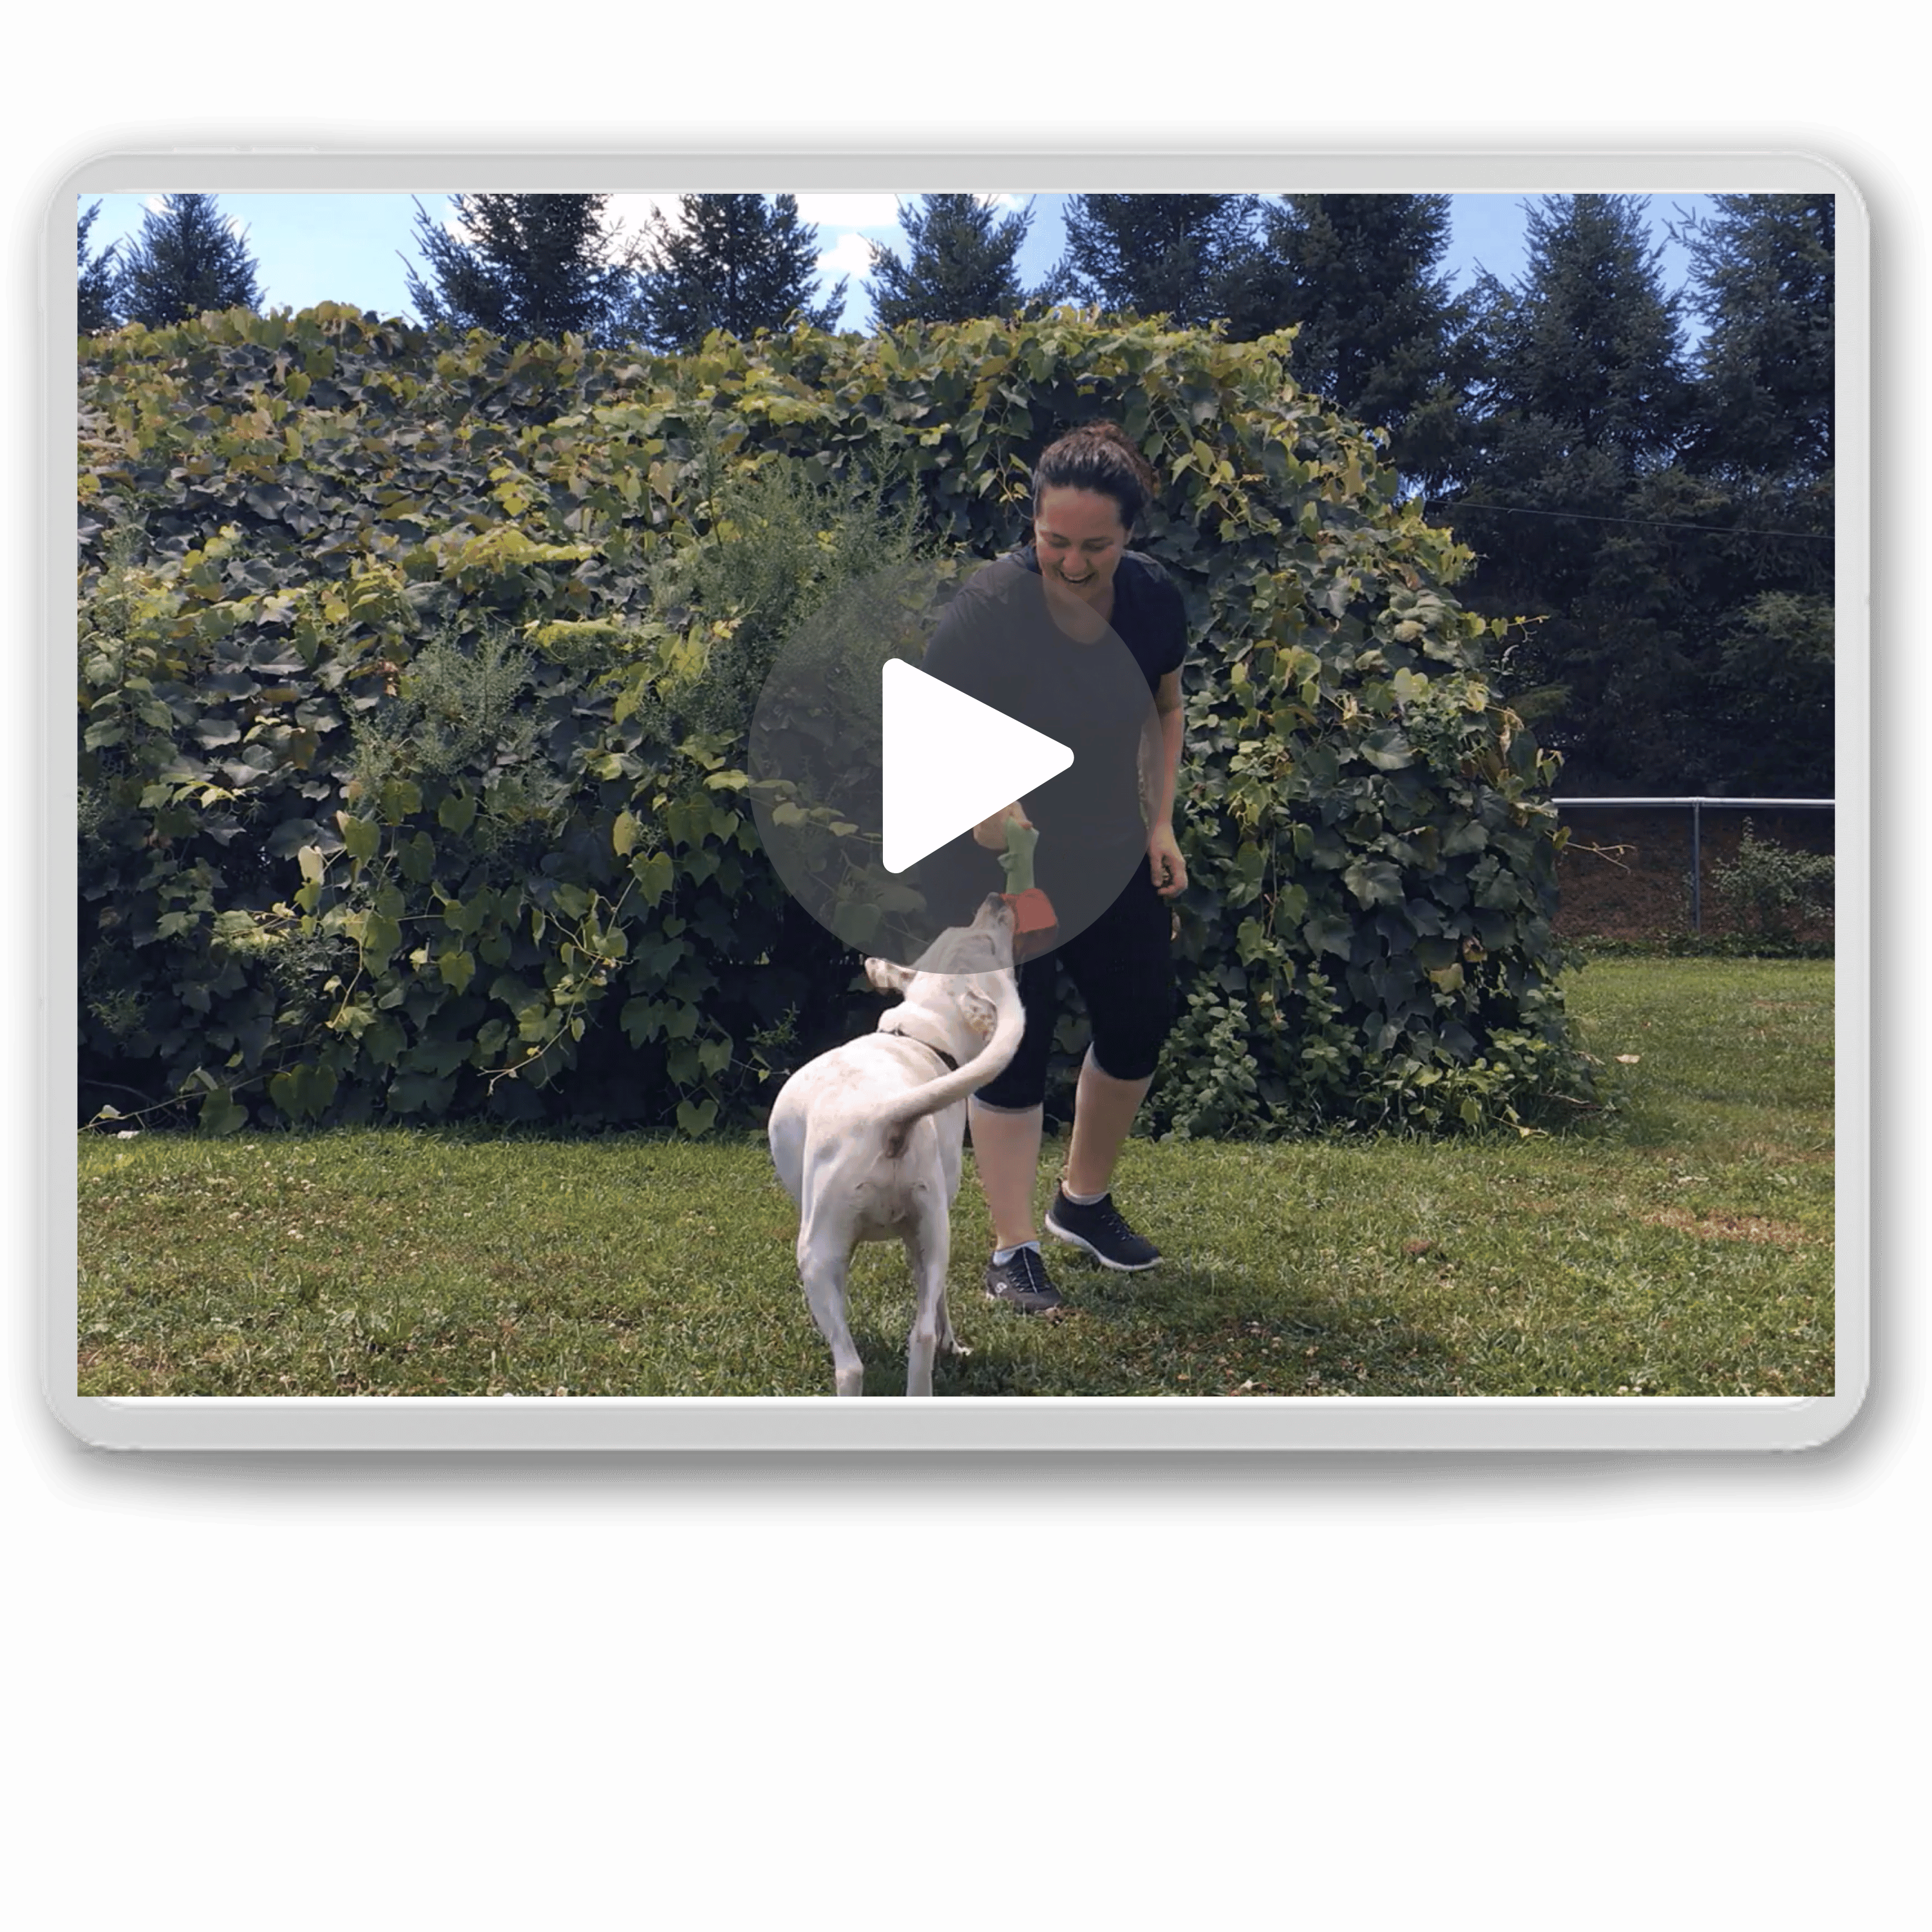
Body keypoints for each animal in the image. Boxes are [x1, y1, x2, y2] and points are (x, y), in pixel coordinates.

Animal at [765, 896, 1028, 1399]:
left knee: (850, 1367)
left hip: (816, 1251)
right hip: (934, 1232)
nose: (997, 900)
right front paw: (953, 1346)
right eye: (979, 938)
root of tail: (885, 1115)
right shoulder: (922, 1232)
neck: (921, 1036)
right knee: (922, 1333)